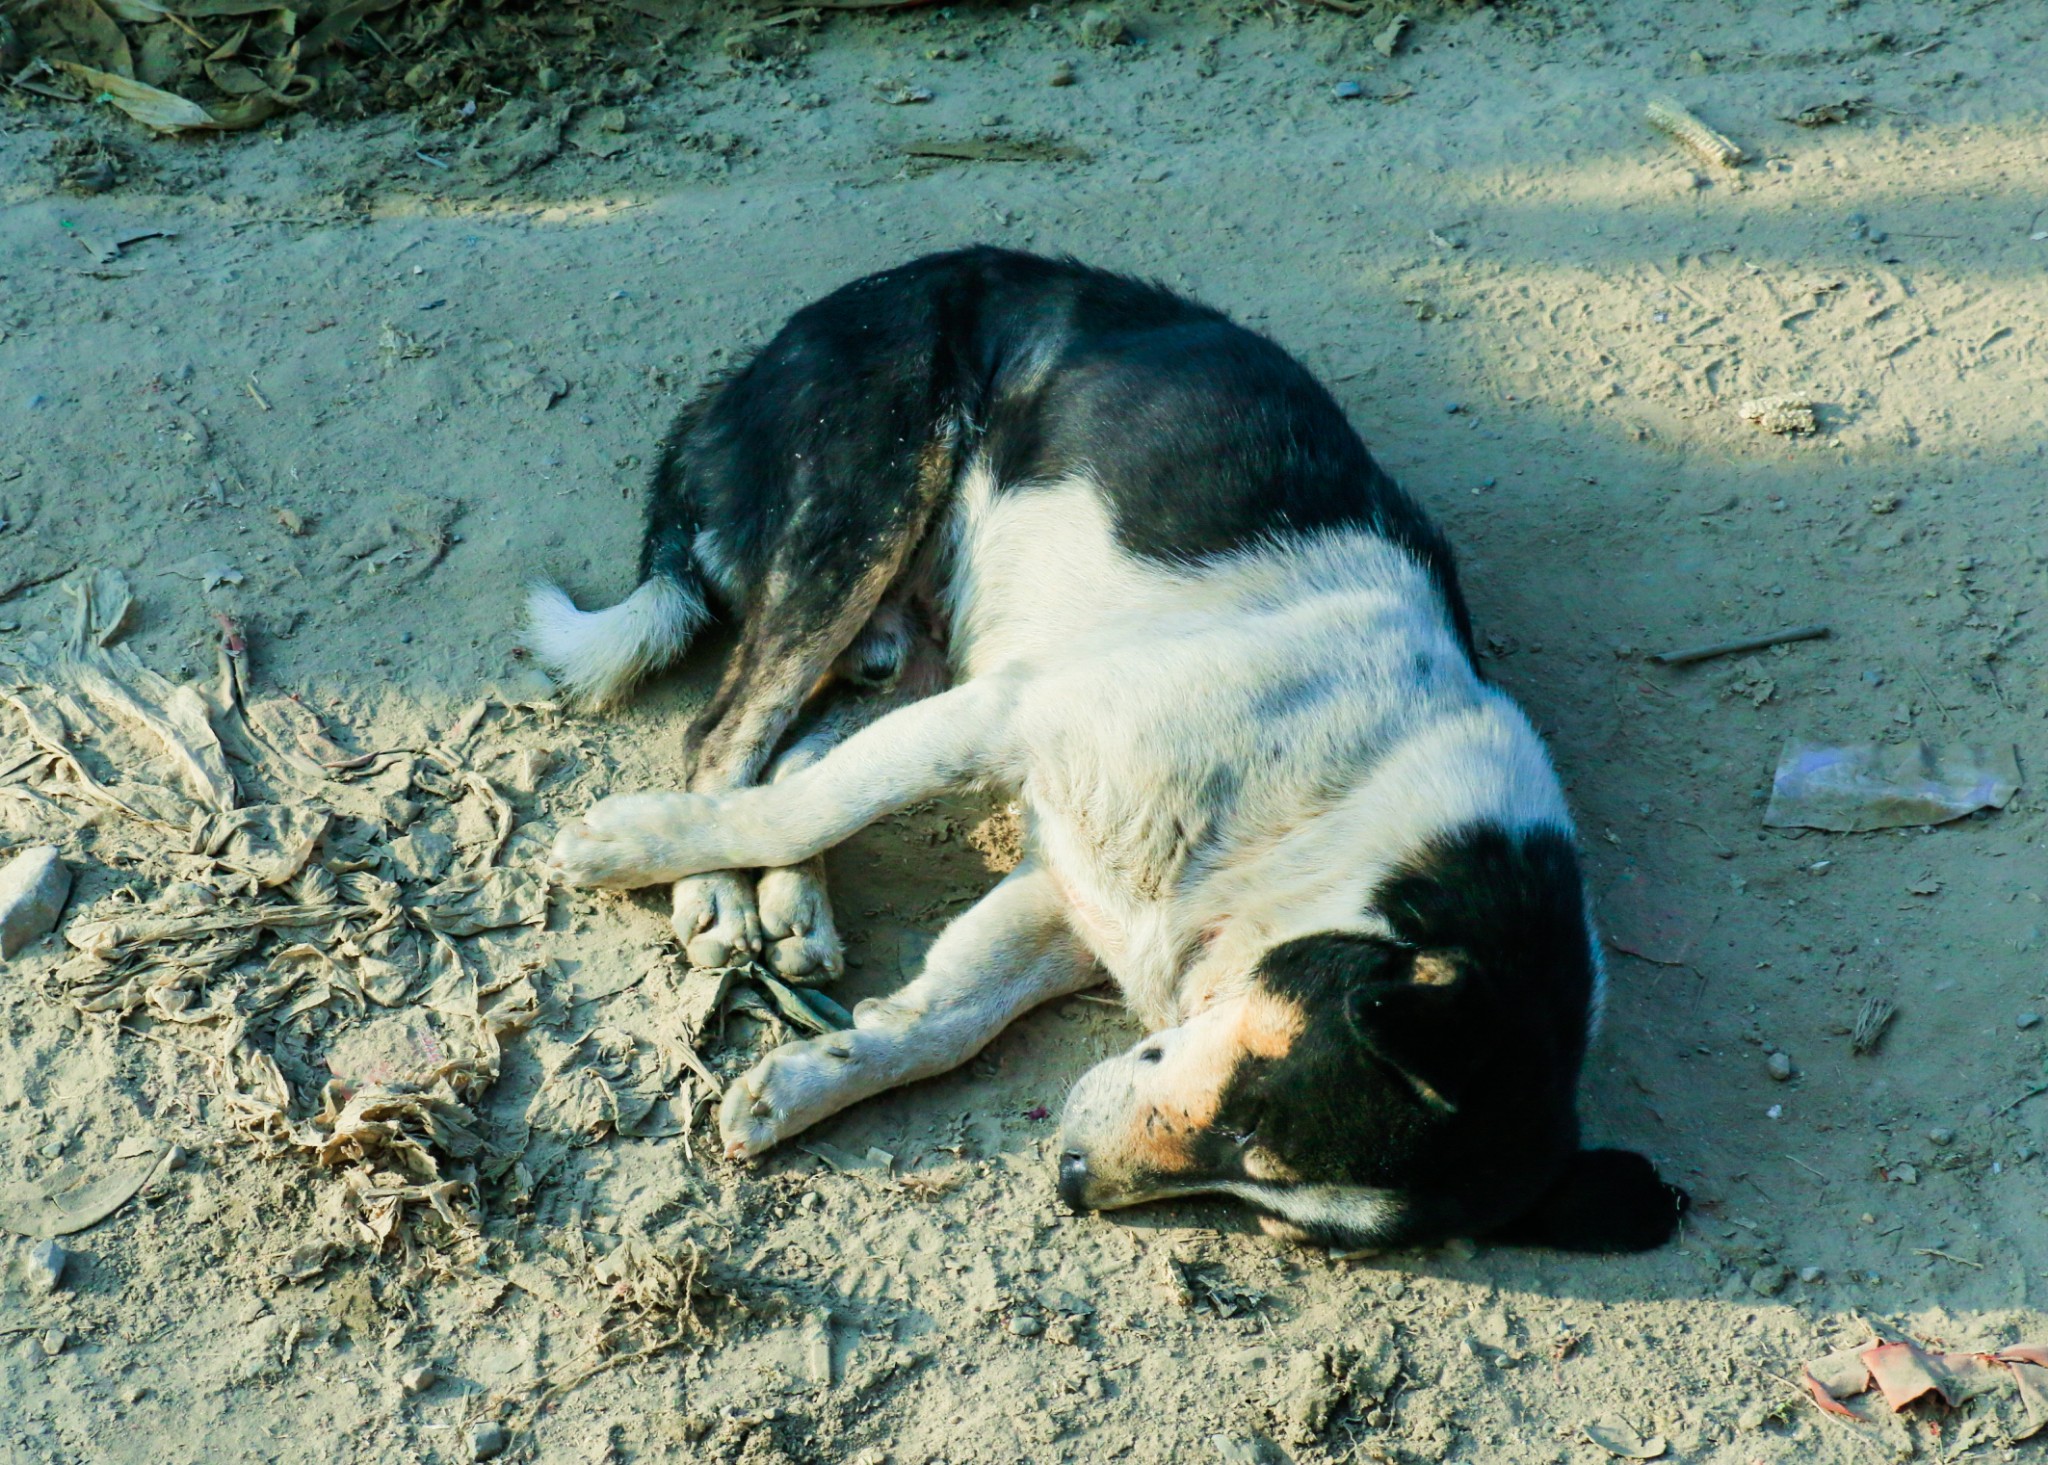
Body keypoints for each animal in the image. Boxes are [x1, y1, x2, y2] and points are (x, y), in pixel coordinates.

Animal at [536, 246, 1687, 1253]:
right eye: (1247, 1112)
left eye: (1276, 1217)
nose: (1071, 1182)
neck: (1339, 827)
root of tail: (739, 377)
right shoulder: (1017, 717)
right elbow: (807, 810)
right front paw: (619, 848)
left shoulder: (1083, 888)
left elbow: (939, 1018)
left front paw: (808, 1081)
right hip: (863, 520)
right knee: (731, 737)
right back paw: (713, 894)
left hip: (905, 654)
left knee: (793, 746)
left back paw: (793, 907)